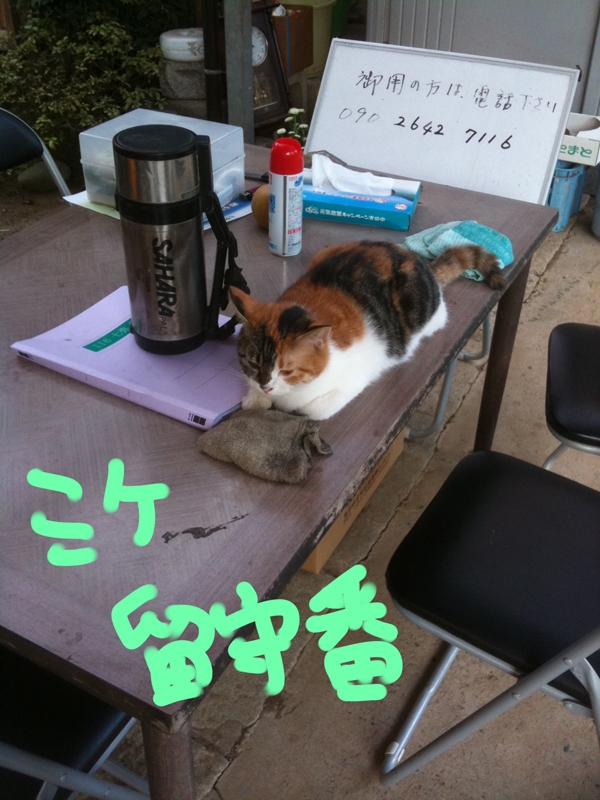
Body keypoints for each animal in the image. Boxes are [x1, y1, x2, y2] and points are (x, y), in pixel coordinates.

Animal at [229, 240, 504, 421]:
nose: (266, 386)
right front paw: (256, 397)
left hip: (424, 312)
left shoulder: (353, 377)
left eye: (287, 371)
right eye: (253, 363)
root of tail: (416, 259)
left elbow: (312, 410)